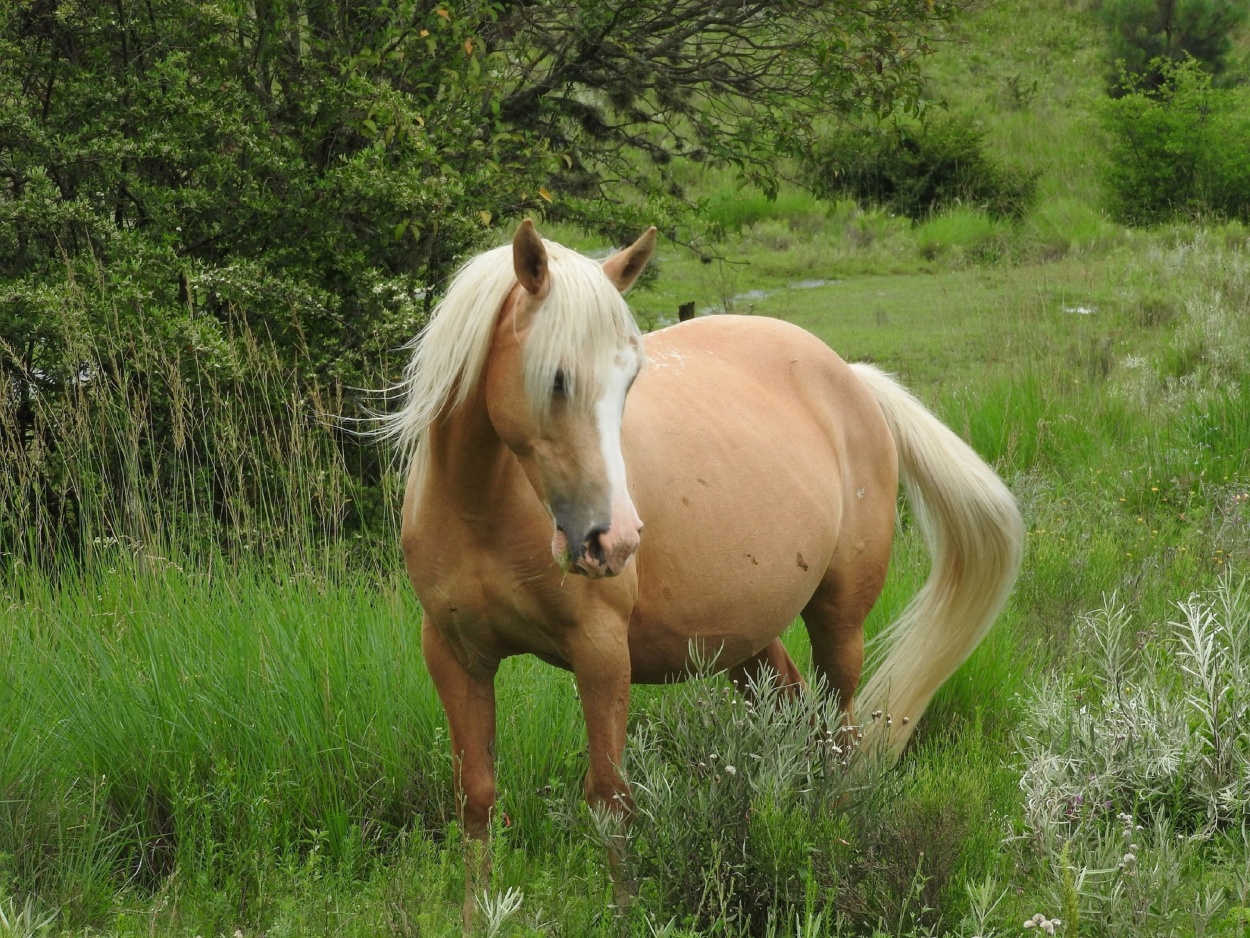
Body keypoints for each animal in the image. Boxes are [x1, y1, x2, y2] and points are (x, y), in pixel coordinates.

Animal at [392, 218, 1025, 925]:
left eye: (631, 380)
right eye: (556, 379)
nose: (614, 539)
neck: (482, 507)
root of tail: (852, 378)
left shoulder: (601, 652)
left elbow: (609, 799)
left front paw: (625, 914)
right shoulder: (454, 654)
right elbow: (475, 796)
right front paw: (477, 916)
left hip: (840, 620)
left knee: (839, 735)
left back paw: (835, 845)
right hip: (743, 642)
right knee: (795, 716)